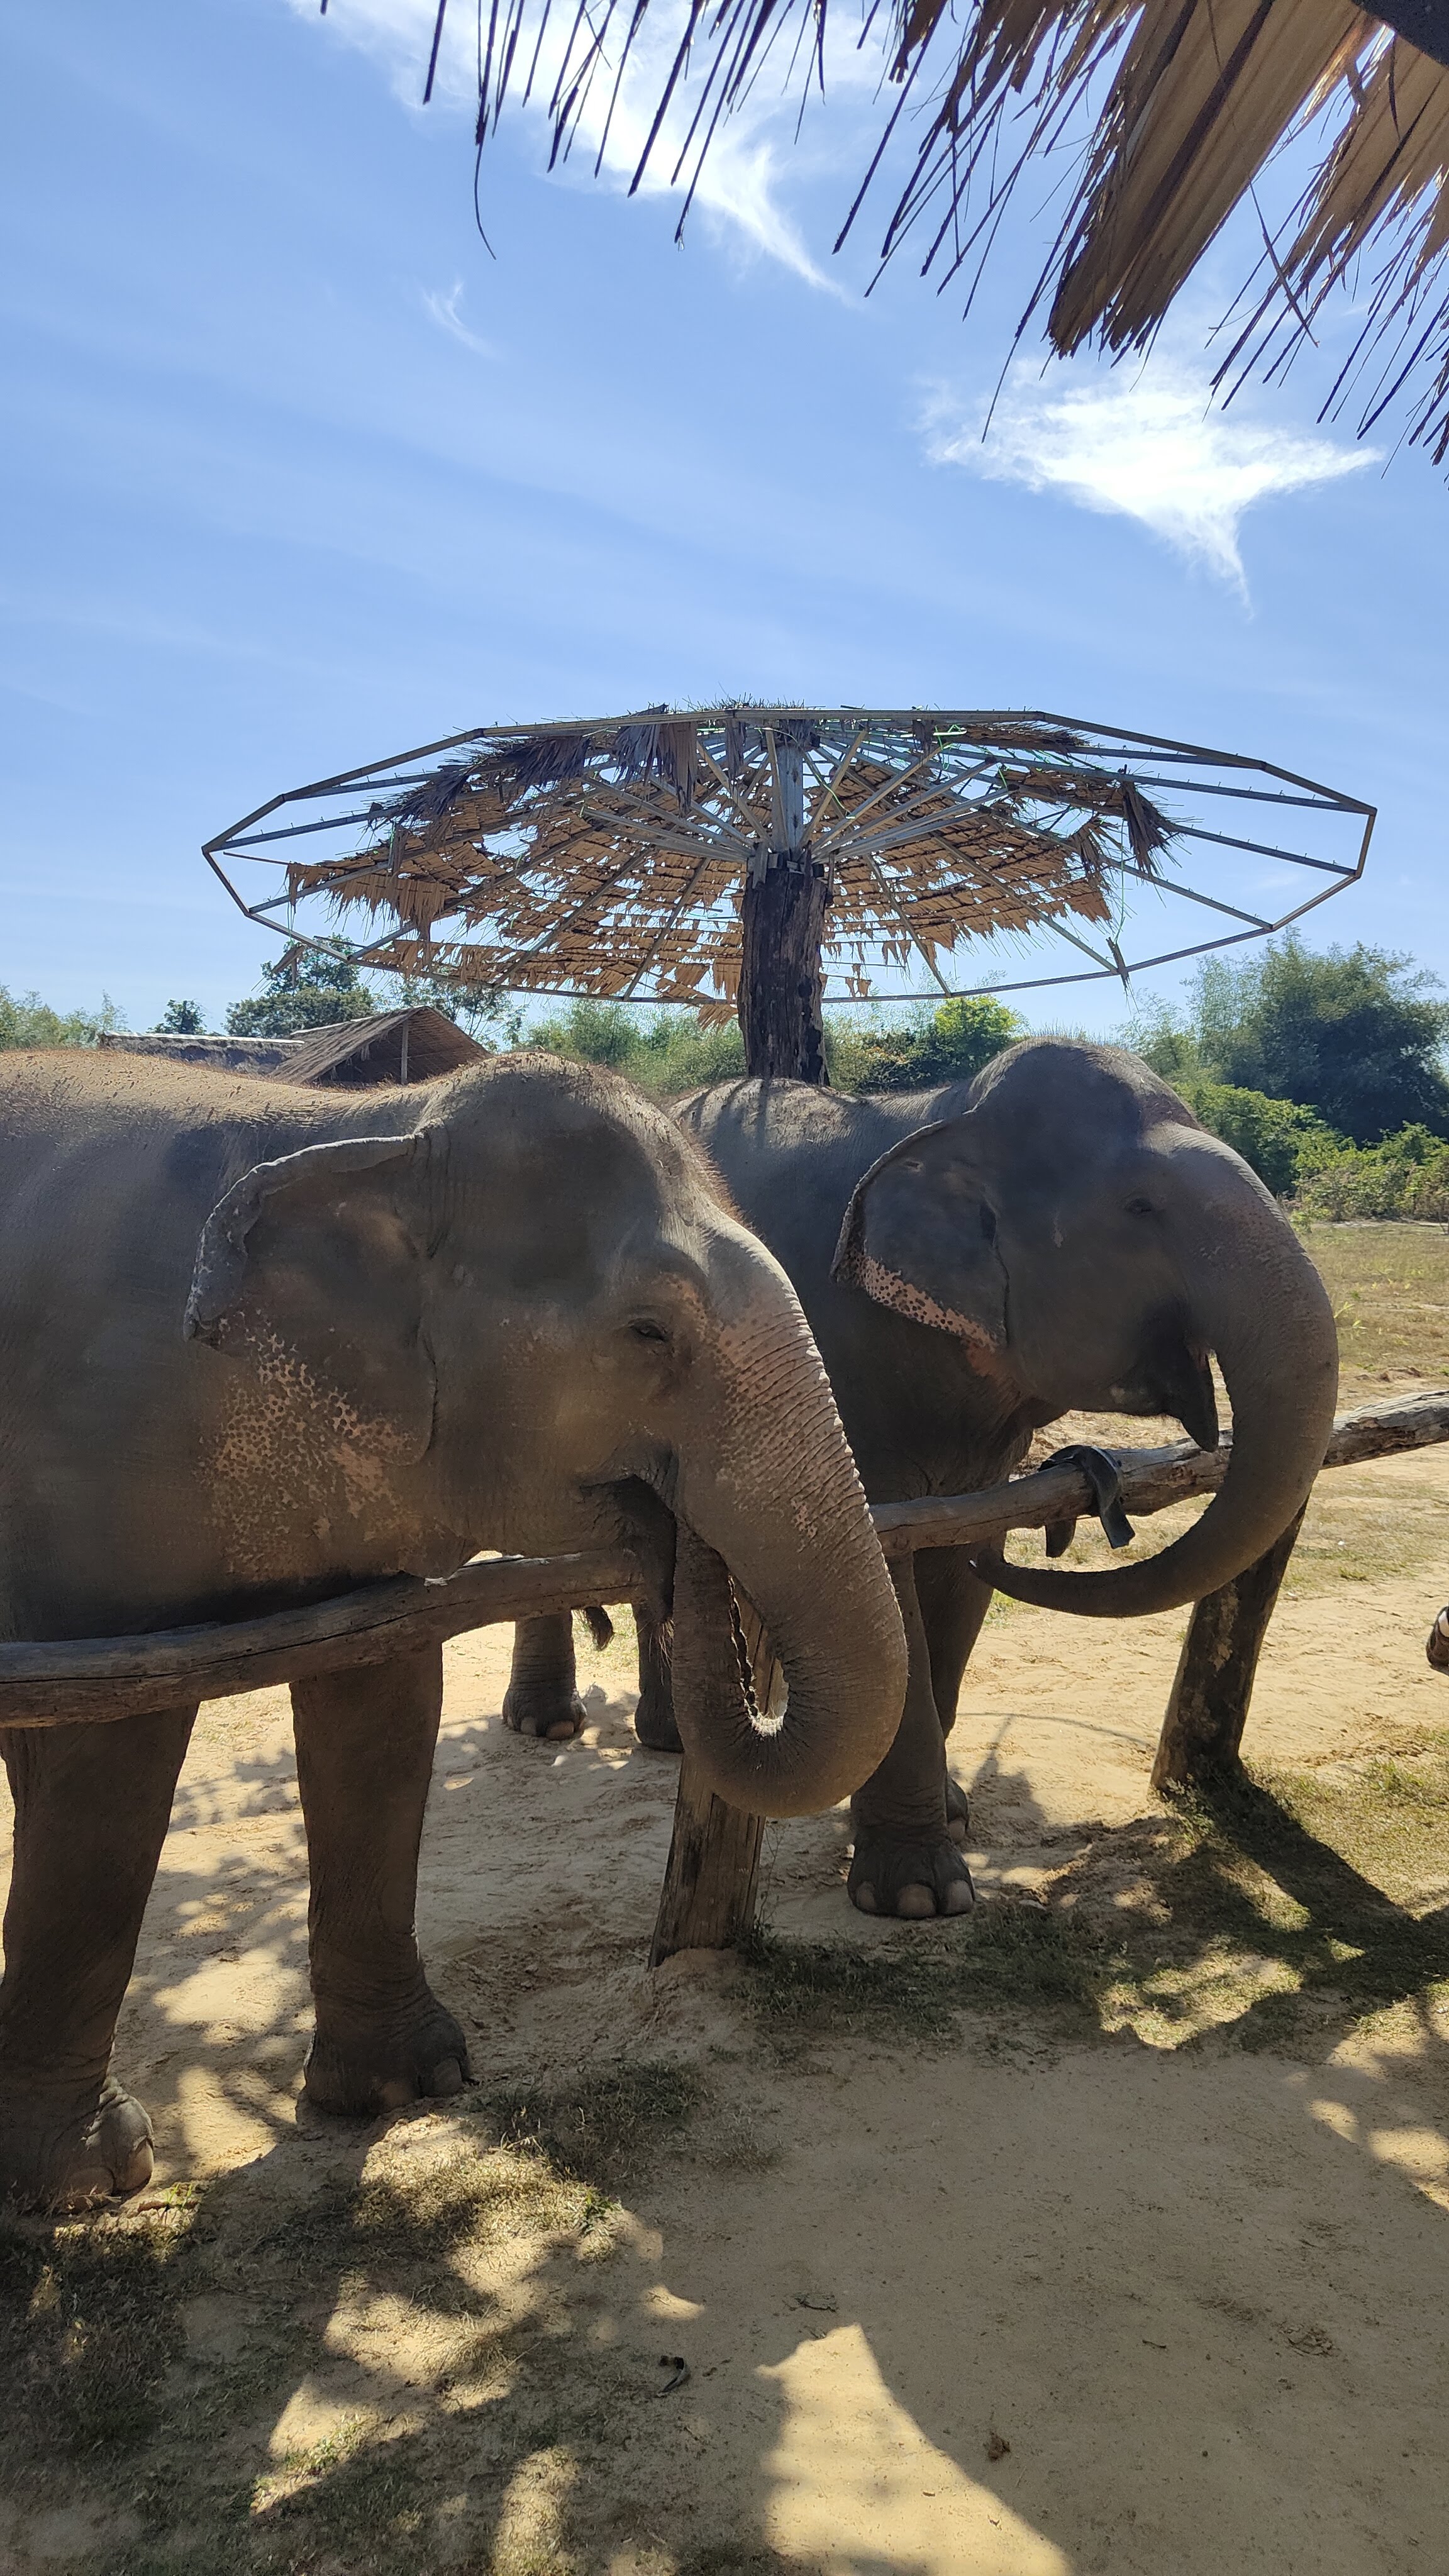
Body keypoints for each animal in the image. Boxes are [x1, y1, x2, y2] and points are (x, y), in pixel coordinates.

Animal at [0, 1048, 907, 2206]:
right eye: (648, 1333)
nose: (682, 1539)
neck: (373, 1129)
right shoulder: (90, 1467)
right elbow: (108, 1764)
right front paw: (80, 2187)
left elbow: (382, 1702)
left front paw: (405, 2087)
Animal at [506, 1039, 1338, 1917]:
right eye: (1142, 1207)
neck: (945, 1113)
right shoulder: (834, 1364)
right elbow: (890, 1583)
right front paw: (918, 1896)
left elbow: (961, 1570)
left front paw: (953, 1814)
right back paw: (548, 1726)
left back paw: (669, 1741)